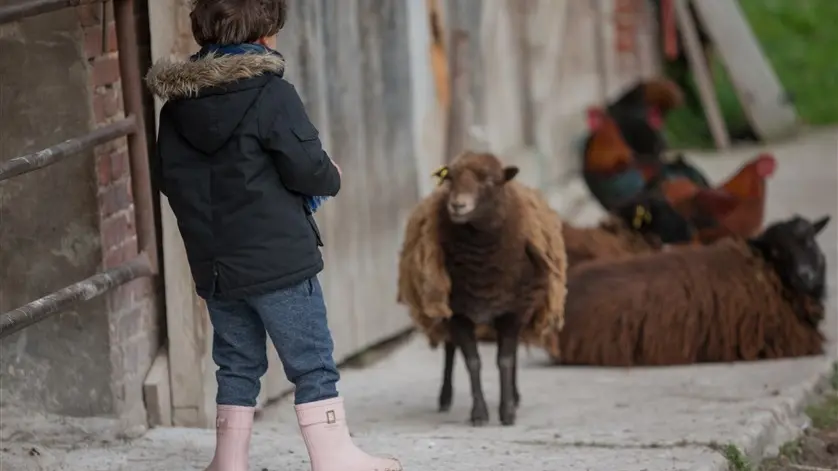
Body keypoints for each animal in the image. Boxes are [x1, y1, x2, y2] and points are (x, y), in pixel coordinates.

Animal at [398, 152, 568, 428]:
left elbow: (505, 360)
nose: (457, 205)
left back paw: (515, 395)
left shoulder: (513, 310)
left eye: (489, 181)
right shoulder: (458, 311)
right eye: (450, 178)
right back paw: (444, 398)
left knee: (513, 352)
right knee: (450, 348)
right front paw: (479, 413)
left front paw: (507, 411)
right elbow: (472, 361)